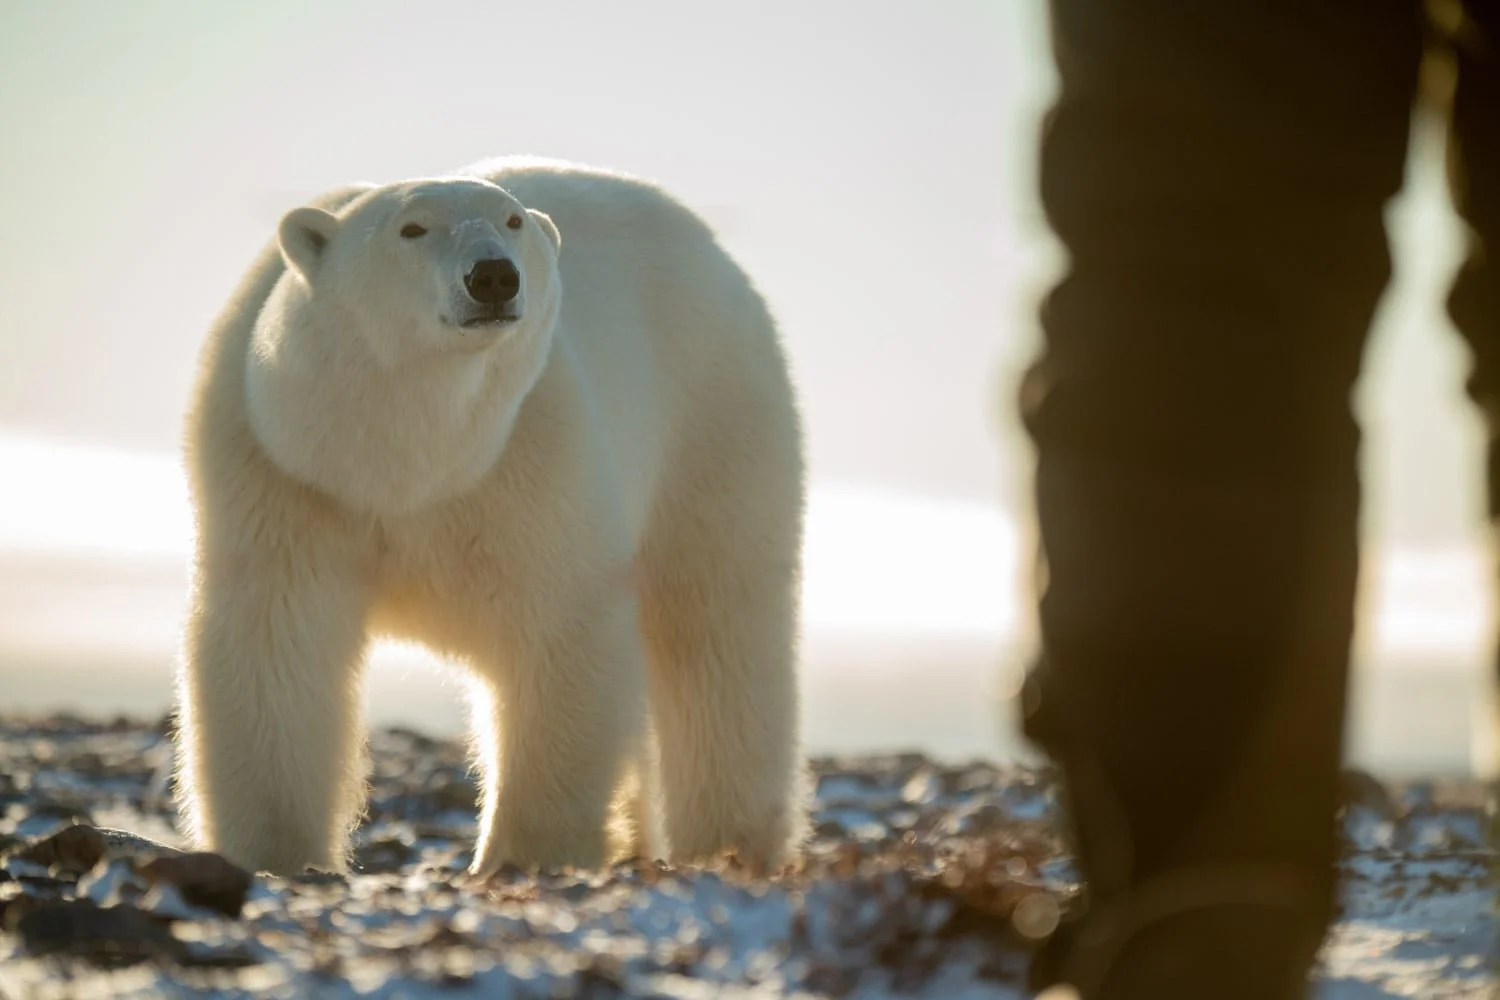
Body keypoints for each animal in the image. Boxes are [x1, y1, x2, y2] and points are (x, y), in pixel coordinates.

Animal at [172, 156, 808, 878]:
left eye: (513, 219)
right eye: (412, 227)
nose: (494, 276)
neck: (402, 465)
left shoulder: (534, 458)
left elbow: (556, 633)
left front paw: (520, 855)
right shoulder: (282, 477)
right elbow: (274, 641)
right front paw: (275, 853)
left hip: (713, 419)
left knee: (717, 630)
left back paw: (730, 844)